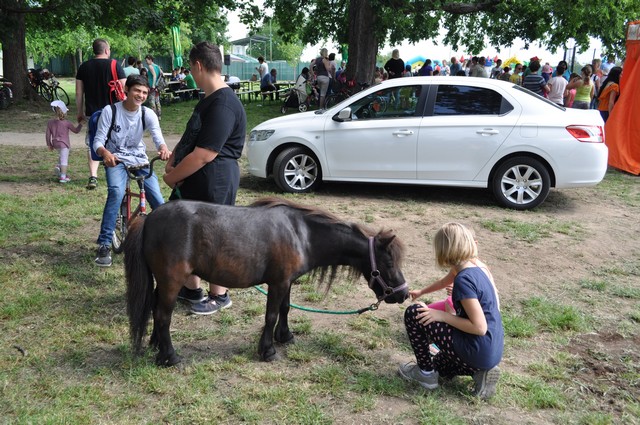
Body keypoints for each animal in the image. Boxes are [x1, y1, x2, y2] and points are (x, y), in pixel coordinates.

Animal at [124, 197, 409, 366]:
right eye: (389, 263)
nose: (403, 294)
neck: (302, 234)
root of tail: (148, 219)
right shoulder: (278, 282)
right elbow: (270, 315)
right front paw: (268, 349)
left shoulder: (287, 282)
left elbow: (285, 309)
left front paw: (285, 336)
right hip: (172, 282)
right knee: (163, 315)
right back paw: (169, 356)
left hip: (163, 283)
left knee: (155, 309)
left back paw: (156, 344)